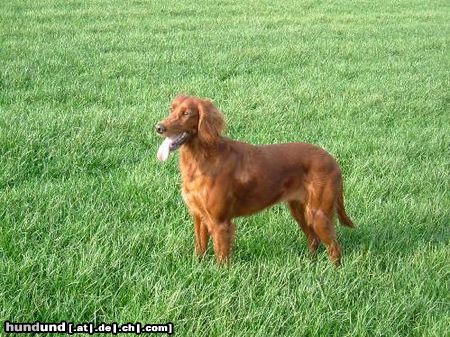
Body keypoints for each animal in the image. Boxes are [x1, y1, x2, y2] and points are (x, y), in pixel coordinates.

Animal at [156, 94, 354, 266]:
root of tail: (333, 160)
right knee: (313, 239)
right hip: (299, 210)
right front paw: (199, 268)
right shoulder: (198, 216)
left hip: (318, 213)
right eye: (171, 109)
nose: (159, 127)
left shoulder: (220, 223)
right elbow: (200, 249)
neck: (202, 158)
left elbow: (222, 258)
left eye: (187, 113)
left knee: (334, 247)